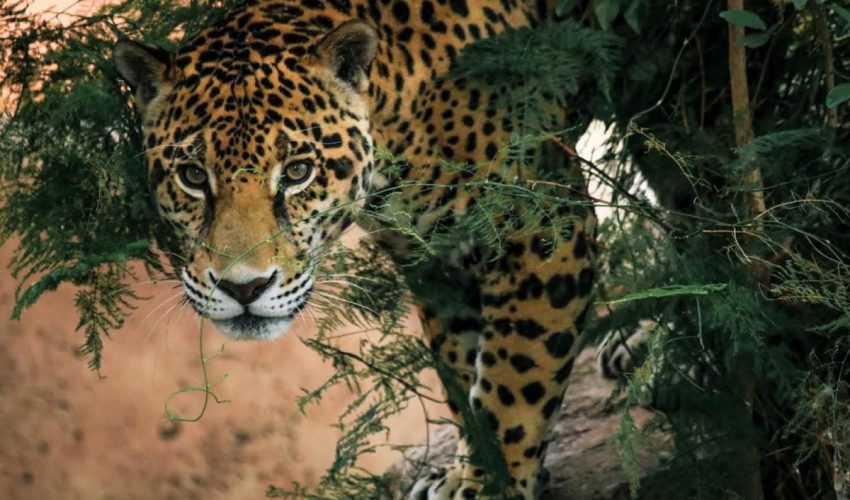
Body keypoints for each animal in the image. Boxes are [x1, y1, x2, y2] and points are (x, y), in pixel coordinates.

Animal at [113, 1, 596, 498]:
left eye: (298, 171)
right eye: (192, 176)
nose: (243, 289)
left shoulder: (544, 228)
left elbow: (513, 380)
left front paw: (492, 486)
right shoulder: (437, 264)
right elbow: (463, 371)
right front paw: (473, 470)